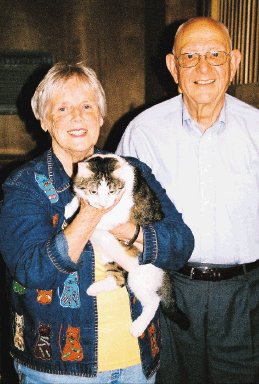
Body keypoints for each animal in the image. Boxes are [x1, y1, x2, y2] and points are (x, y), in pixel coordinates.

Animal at [65, 153, 191, 336]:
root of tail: (165, 270)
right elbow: (79, 197)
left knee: (153, 301)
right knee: (118, 280)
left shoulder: (119, 213)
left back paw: (138, 327)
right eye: (94, 191)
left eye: (111, 191)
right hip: (111, 258)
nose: (103, 204)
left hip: (140, 278)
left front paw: (87, 220)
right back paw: (94, 288)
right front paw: (71, 207)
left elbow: (102, 220)